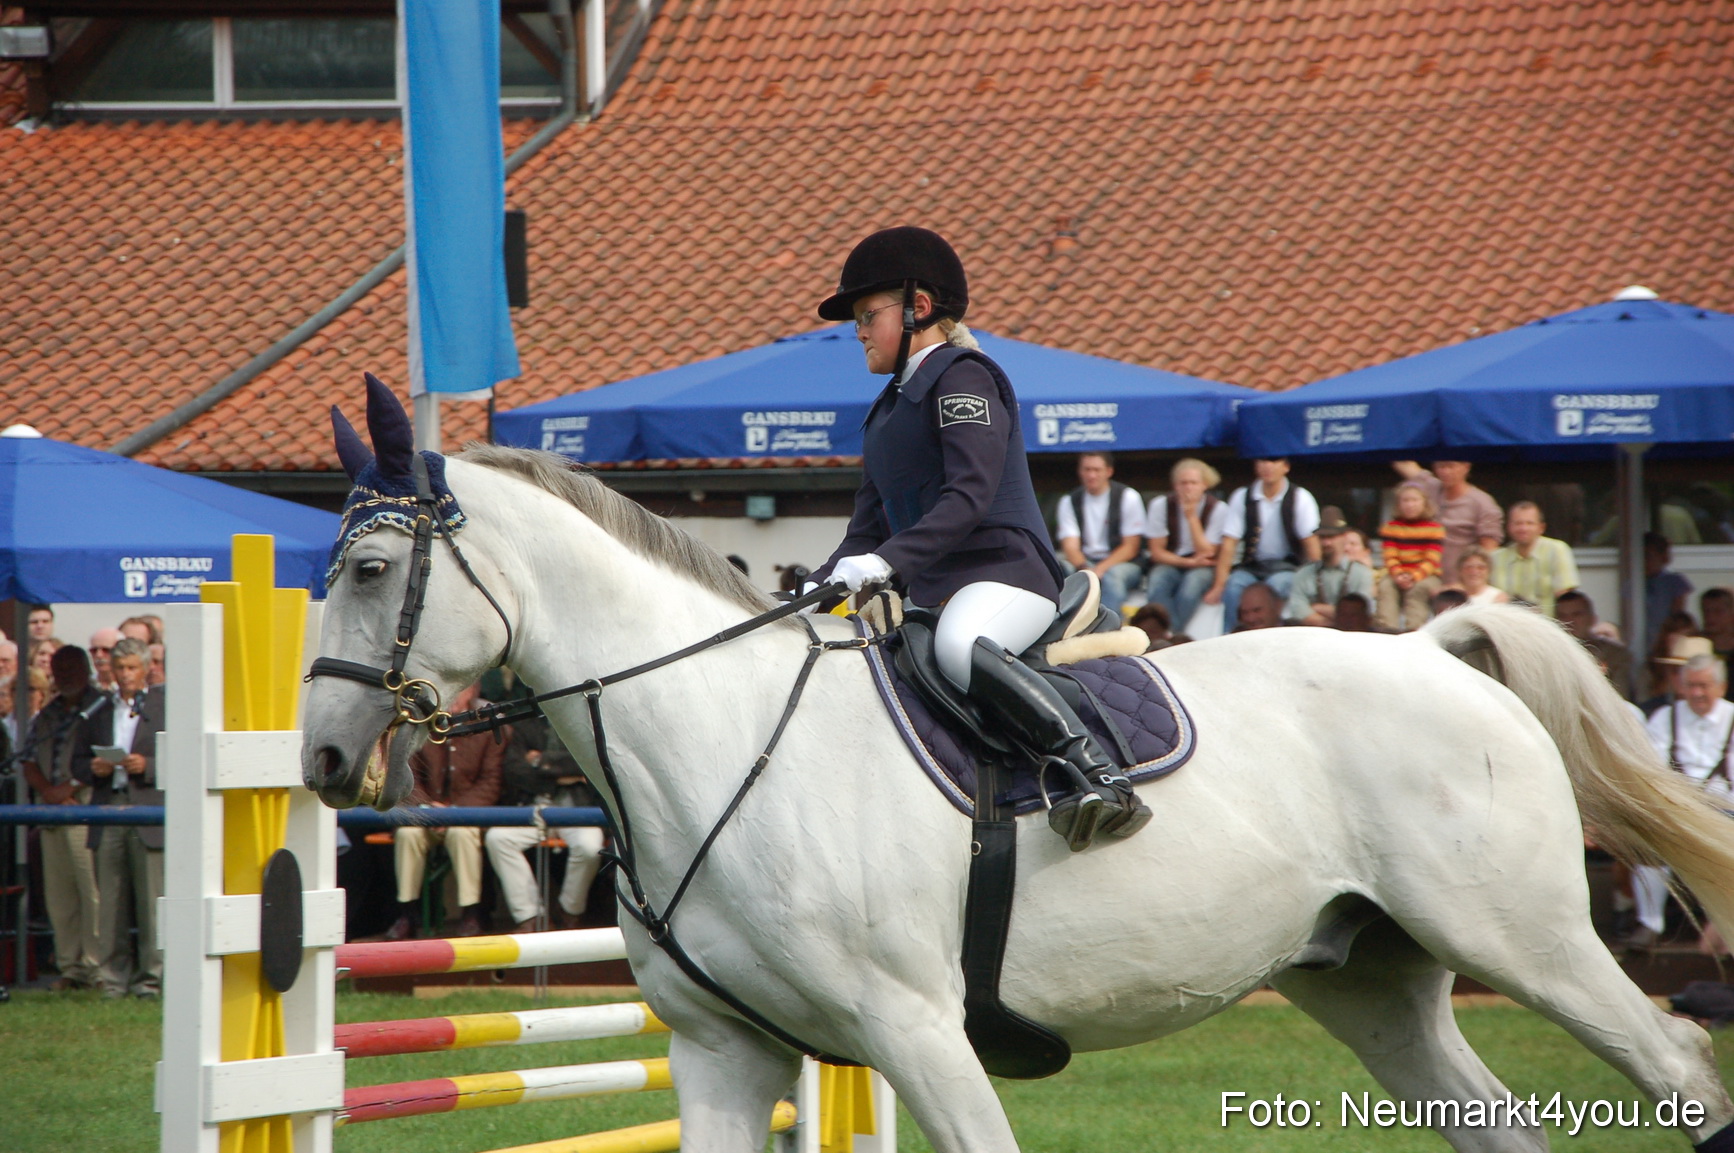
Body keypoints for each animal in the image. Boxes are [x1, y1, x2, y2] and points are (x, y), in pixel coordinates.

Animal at [302, 403, 1734, 1153]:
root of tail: (1437, 651)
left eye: (369, 569)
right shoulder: (723, 1052)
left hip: (1525, 939)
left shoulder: (917, 1031)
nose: (318, 758)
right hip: (1375, 980)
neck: (716, 738)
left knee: (1672, 1056)